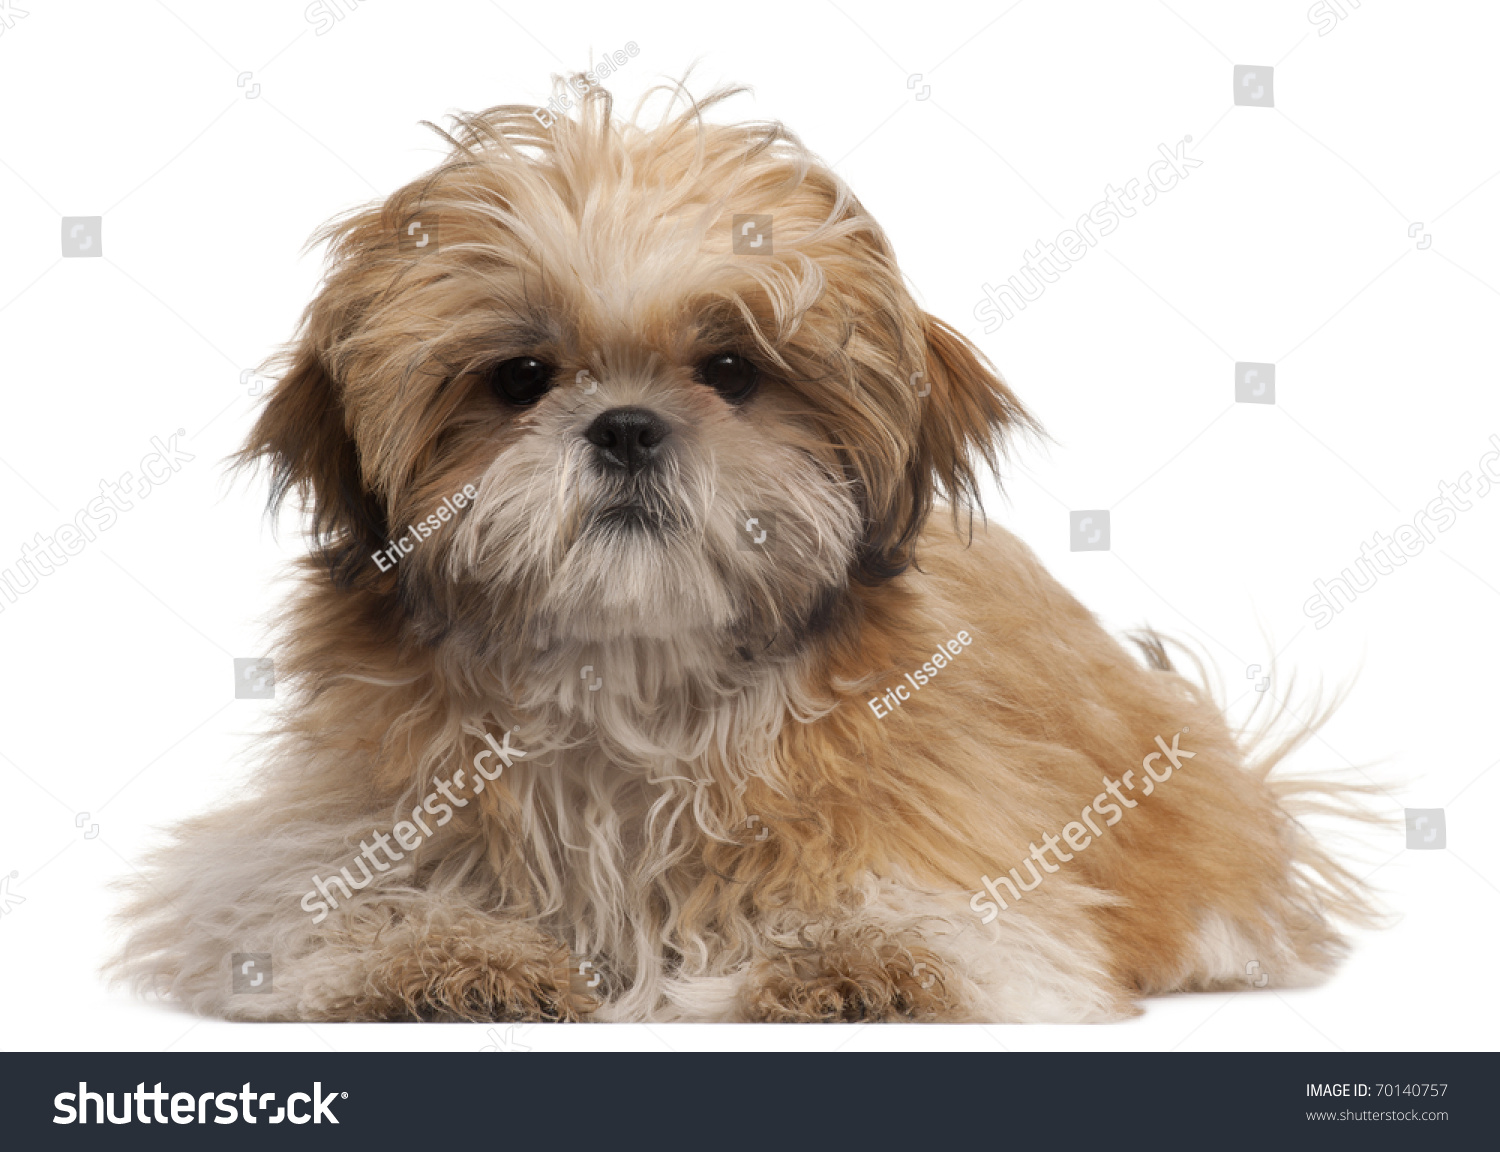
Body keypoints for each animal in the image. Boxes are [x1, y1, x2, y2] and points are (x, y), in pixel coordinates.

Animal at [114, 78, 1374, 1020]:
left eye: (730, 371)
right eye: (520, 379)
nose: (627, 426)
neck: (627, 675)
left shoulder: (972, 849)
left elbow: (947, 927)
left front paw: (850, 958)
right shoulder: (309, 840)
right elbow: (310, 903)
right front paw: (447, 956)